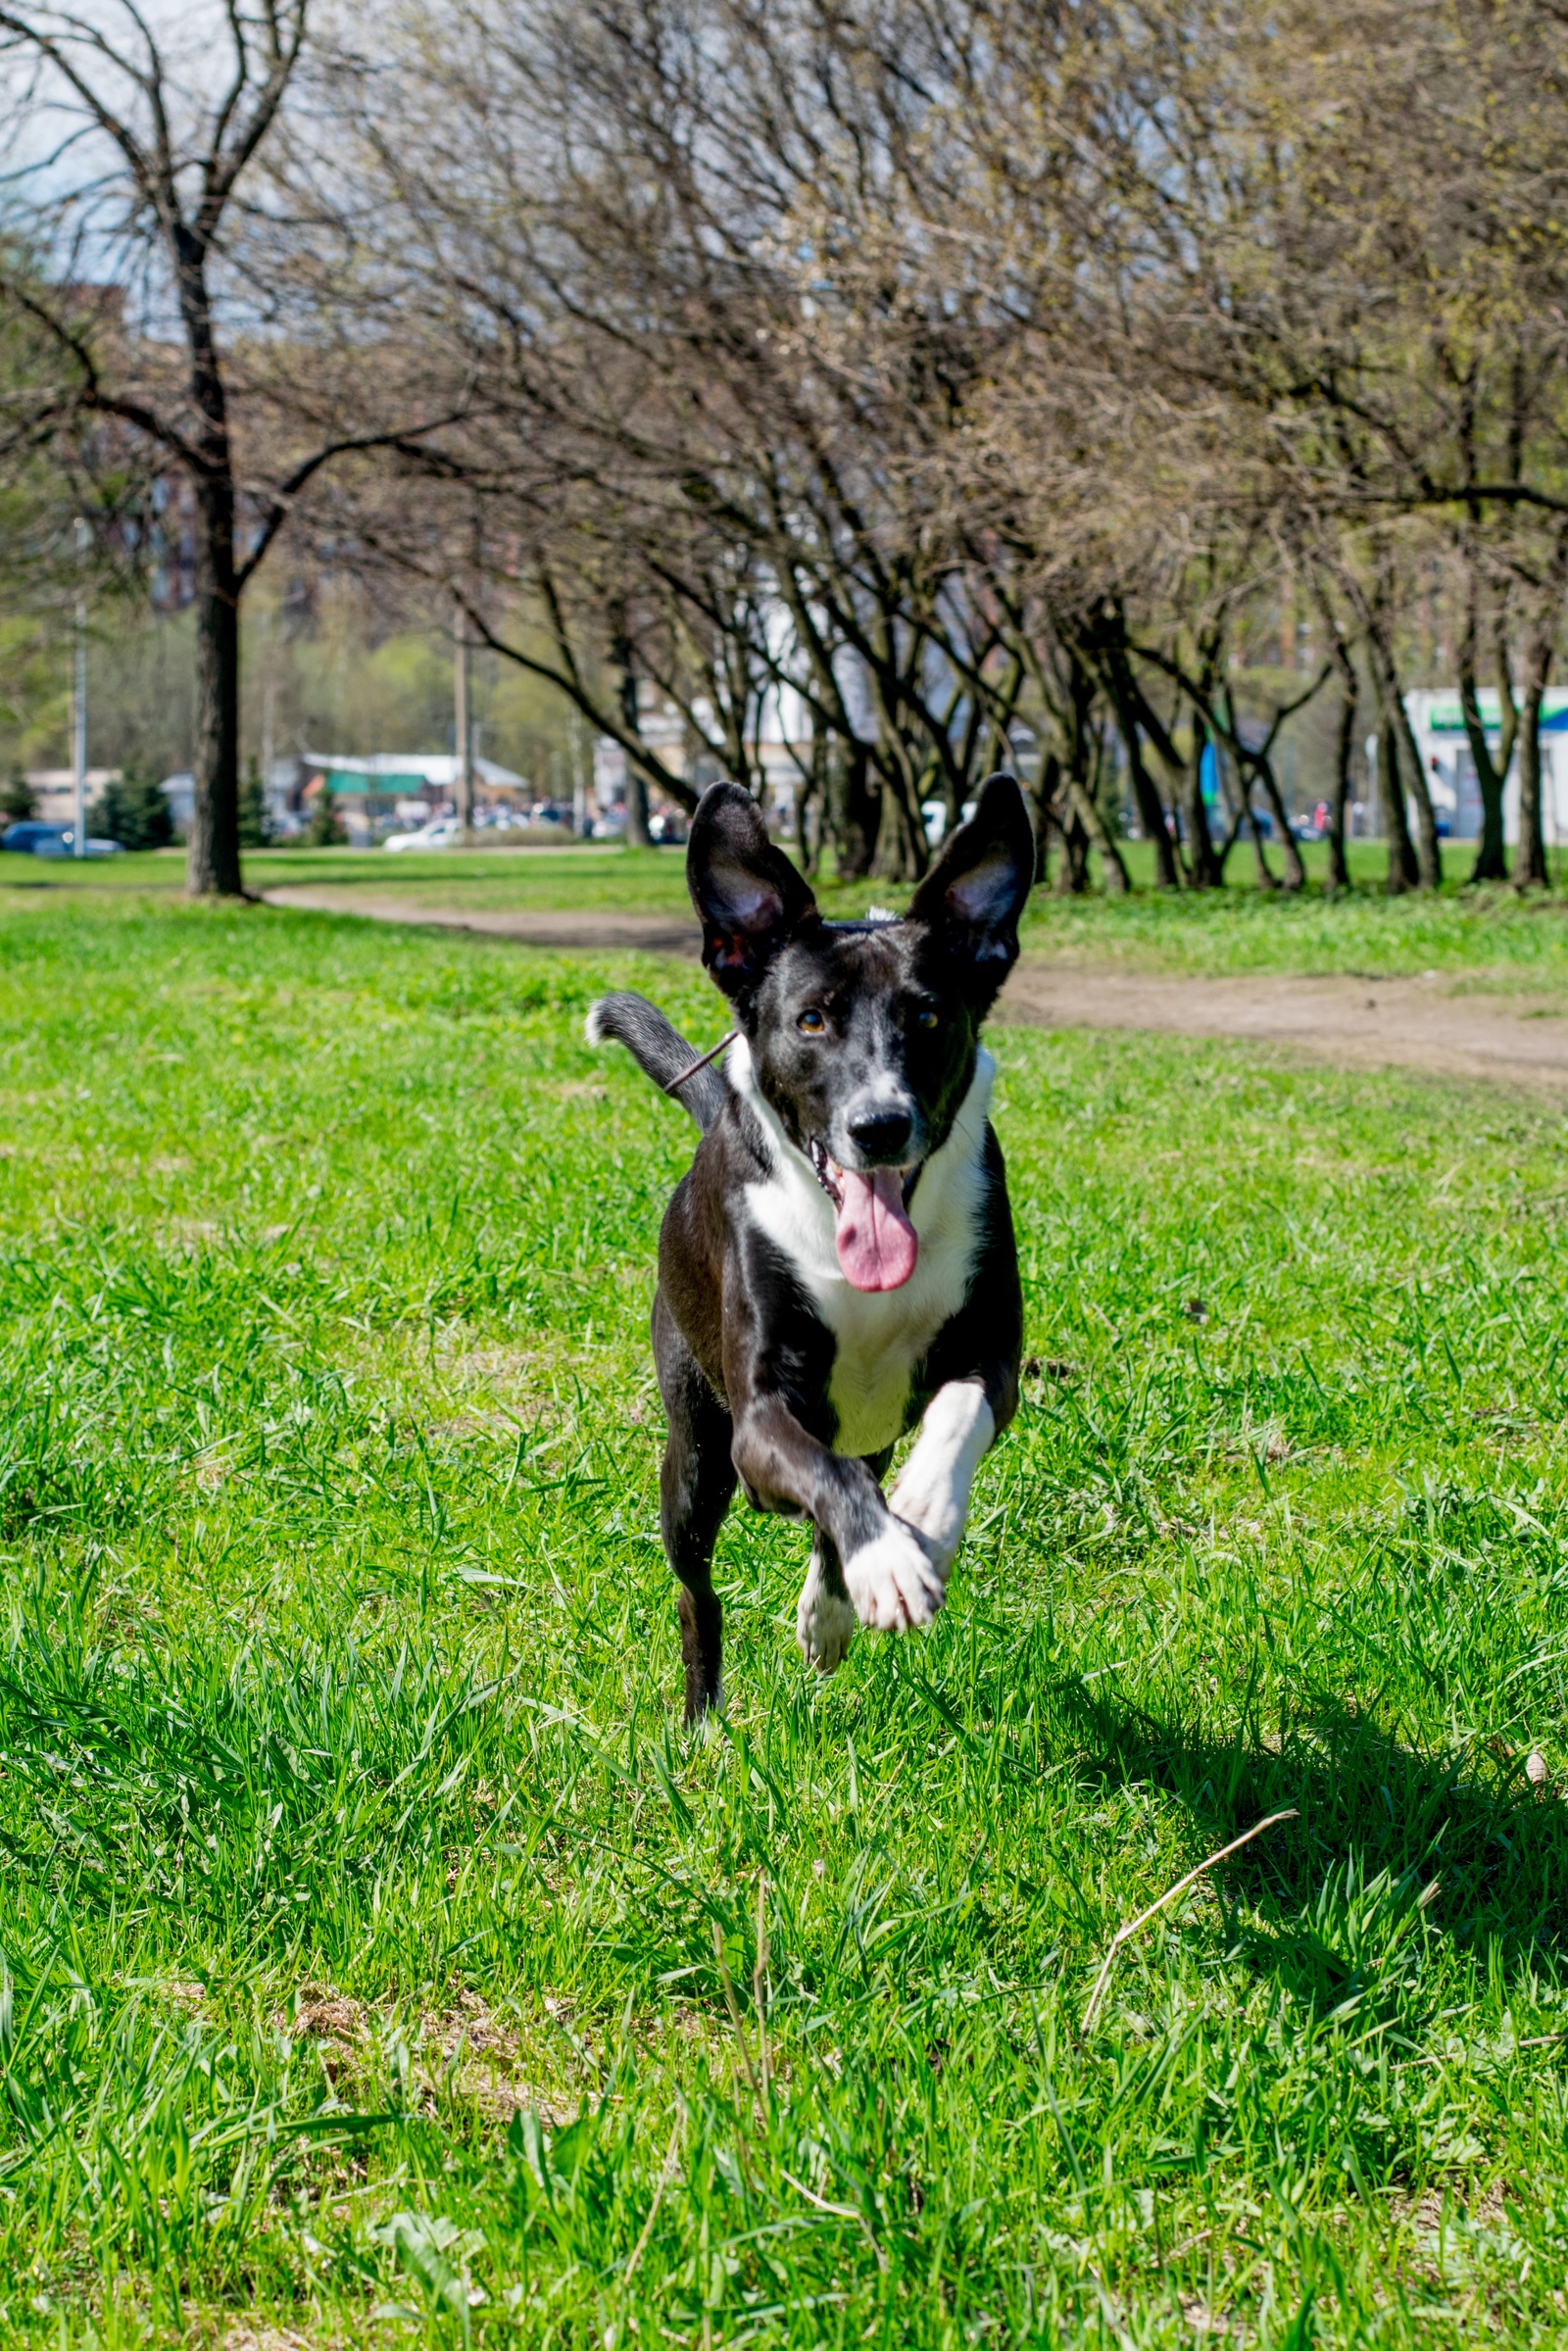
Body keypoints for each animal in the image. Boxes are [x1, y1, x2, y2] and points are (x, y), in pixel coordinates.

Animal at [587, 780, 1029, 1721]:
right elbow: (824, 1474)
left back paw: (832, 1604)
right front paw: (887, 1555)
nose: (880, 1125)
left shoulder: (992, 1356)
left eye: (928, 1014)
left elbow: (958, 1413)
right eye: (812, 1019)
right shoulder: (760, 1417)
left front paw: (922, 1516)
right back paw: (704, 1718)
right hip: (697, 1455)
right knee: (698, 1586)